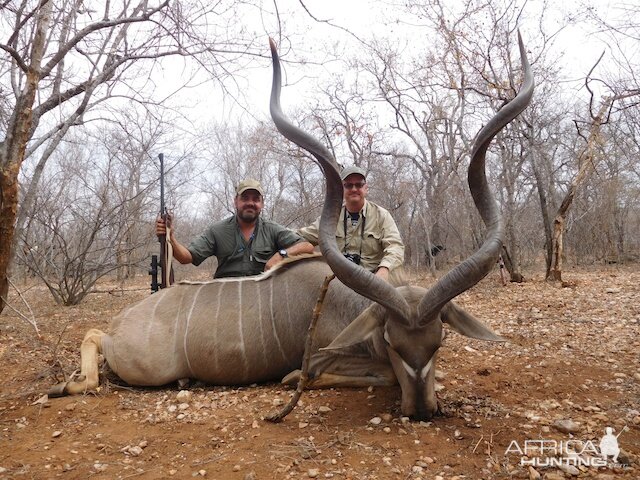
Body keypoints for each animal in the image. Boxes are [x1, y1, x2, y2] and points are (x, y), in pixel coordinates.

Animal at [48, 36, 528, 420]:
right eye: (393, 344)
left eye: (438, 343)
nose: (423, 411)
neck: (344, 304)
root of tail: (124, 323)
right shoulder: (329, 361)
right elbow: (324, 375)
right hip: (141, 365)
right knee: (93, 336)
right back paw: (70, 382)